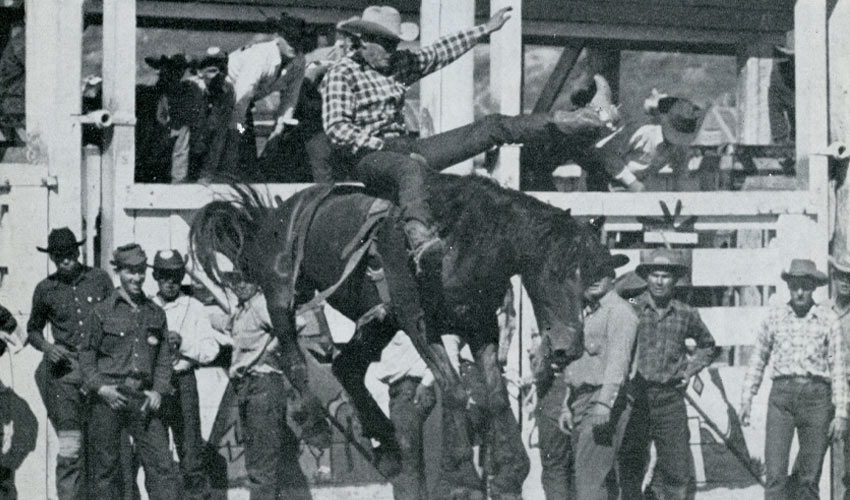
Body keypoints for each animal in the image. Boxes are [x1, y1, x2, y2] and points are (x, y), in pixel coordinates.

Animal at [188, 172, 608, 500]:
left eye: (588, 276)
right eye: (553, 272)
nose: (568, 347)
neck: (462, 241)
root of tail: (268, 219)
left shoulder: (479, 328)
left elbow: (494, 398)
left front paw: (510, 472)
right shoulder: (419, 323)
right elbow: (455, 390)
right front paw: (463, 478)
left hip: (378, 322)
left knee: (346, 366)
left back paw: (387, 442)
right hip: (281, 295)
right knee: (295, 360)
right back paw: (317, 425)